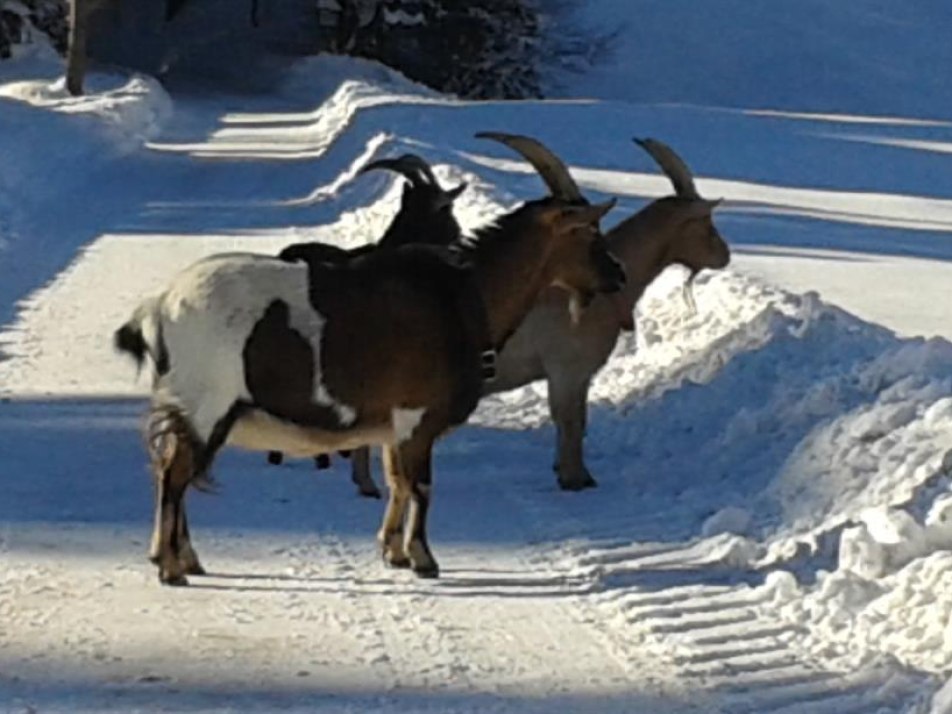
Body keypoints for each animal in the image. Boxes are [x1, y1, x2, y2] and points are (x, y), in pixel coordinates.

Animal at [113, 135, 624, 584]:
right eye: (587, 230)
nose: (616, 275)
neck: (467, 294)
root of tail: (160, 307)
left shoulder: (393, 423)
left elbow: (397, 480)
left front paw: (392, 552)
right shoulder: (417, 415)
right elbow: (421, 484)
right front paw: (424, 559)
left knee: (172, 468)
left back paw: (185, 558)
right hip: (206, 404)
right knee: (174, 474)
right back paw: (171, 568)